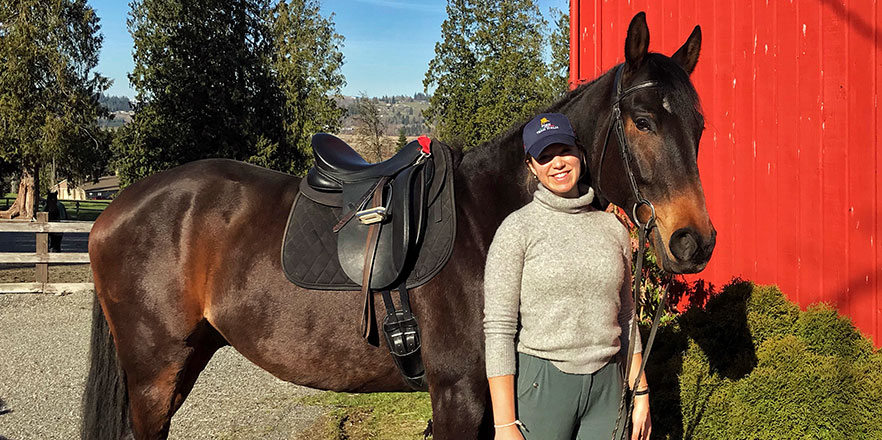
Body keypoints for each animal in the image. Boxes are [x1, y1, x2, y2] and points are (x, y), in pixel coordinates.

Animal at [82, 12, 712, 440]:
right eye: (643, 121)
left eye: (700, 124)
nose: (694, 241)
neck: (487, 223)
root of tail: (118, 208)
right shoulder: (459, 397)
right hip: (154, 376)